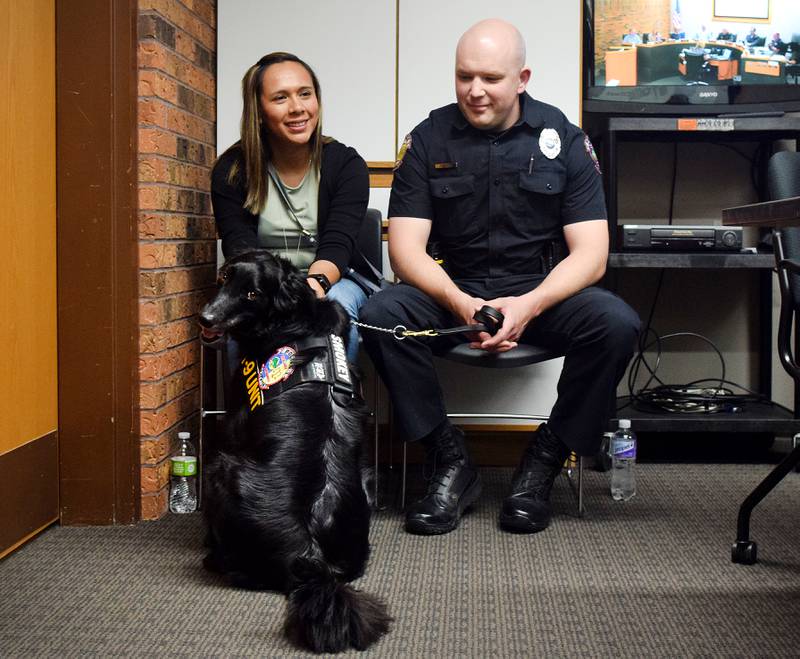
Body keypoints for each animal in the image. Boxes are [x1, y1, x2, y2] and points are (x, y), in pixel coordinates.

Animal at [198, 250, 390, 652]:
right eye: (224, 278)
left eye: (253, 294)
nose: (205, 317)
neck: (295, 316)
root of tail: (310, 558)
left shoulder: (237, 417)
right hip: (367, 481)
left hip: (221, 471)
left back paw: (213, 558)